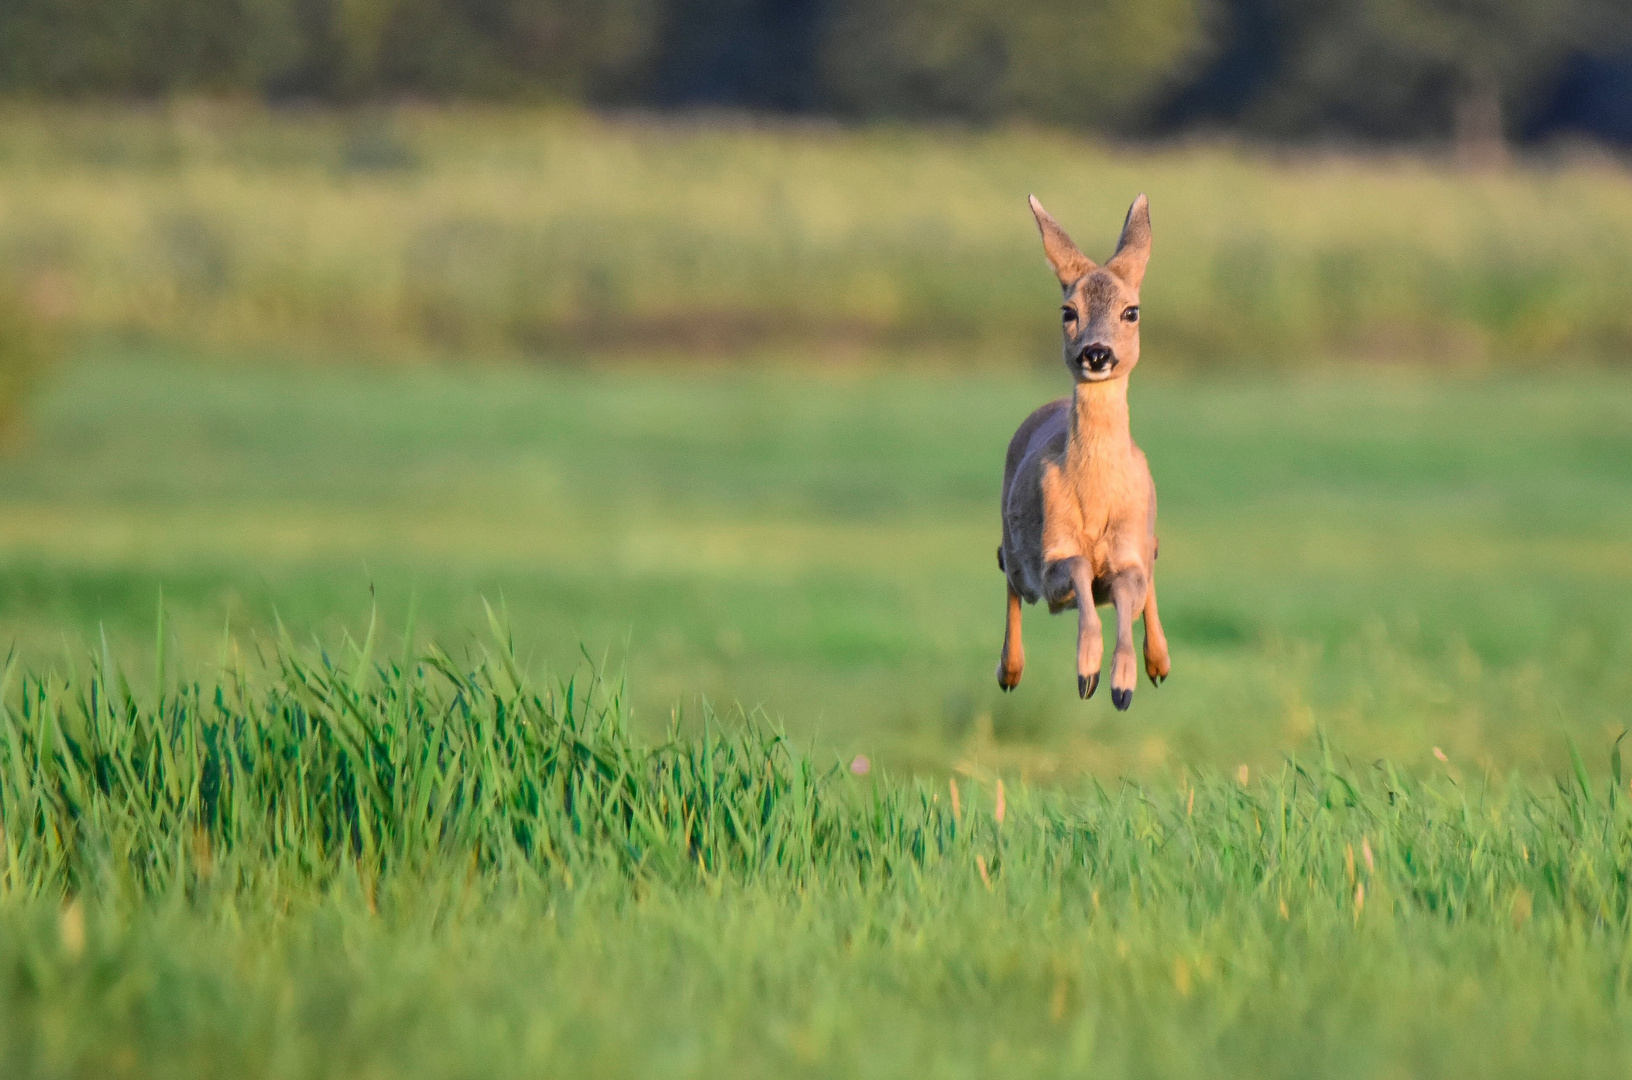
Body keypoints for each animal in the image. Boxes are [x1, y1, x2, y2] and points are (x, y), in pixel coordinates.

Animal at [992, 195, 1175, 714]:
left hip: (1146, 538)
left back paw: (1159, 663)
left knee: (1153, 572)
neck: (1095, 503)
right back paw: (1009, 672)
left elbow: (1129, 595)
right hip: (1019, 556)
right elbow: (1076, 570)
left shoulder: (1128, 555)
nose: (1096, 354)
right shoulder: (1054, 556)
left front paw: (1123, 684)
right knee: (1007, 571)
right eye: (1067, 310)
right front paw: (1089, 673)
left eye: (1132, 311)